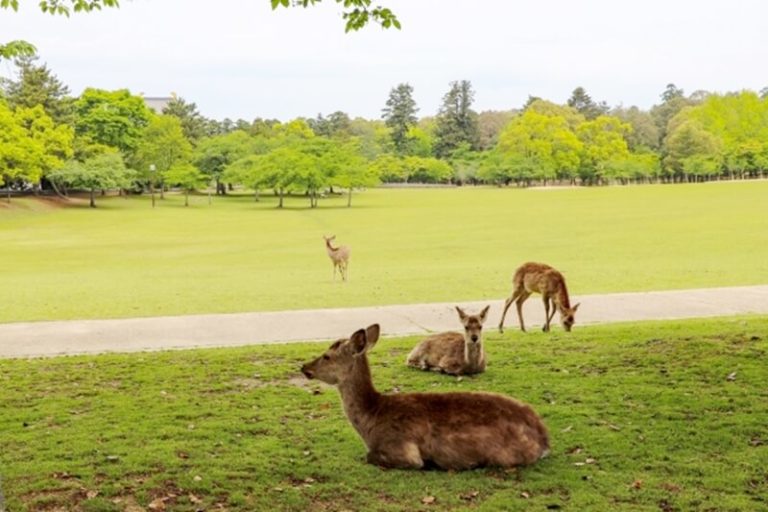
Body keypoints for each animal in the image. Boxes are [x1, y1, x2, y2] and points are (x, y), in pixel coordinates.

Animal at [302, 326, 552, 470]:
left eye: (327, 356)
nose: (304, 367)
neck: (370, 423)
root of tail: (545, 440)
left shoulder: (402, 448)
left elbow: (370, 456)